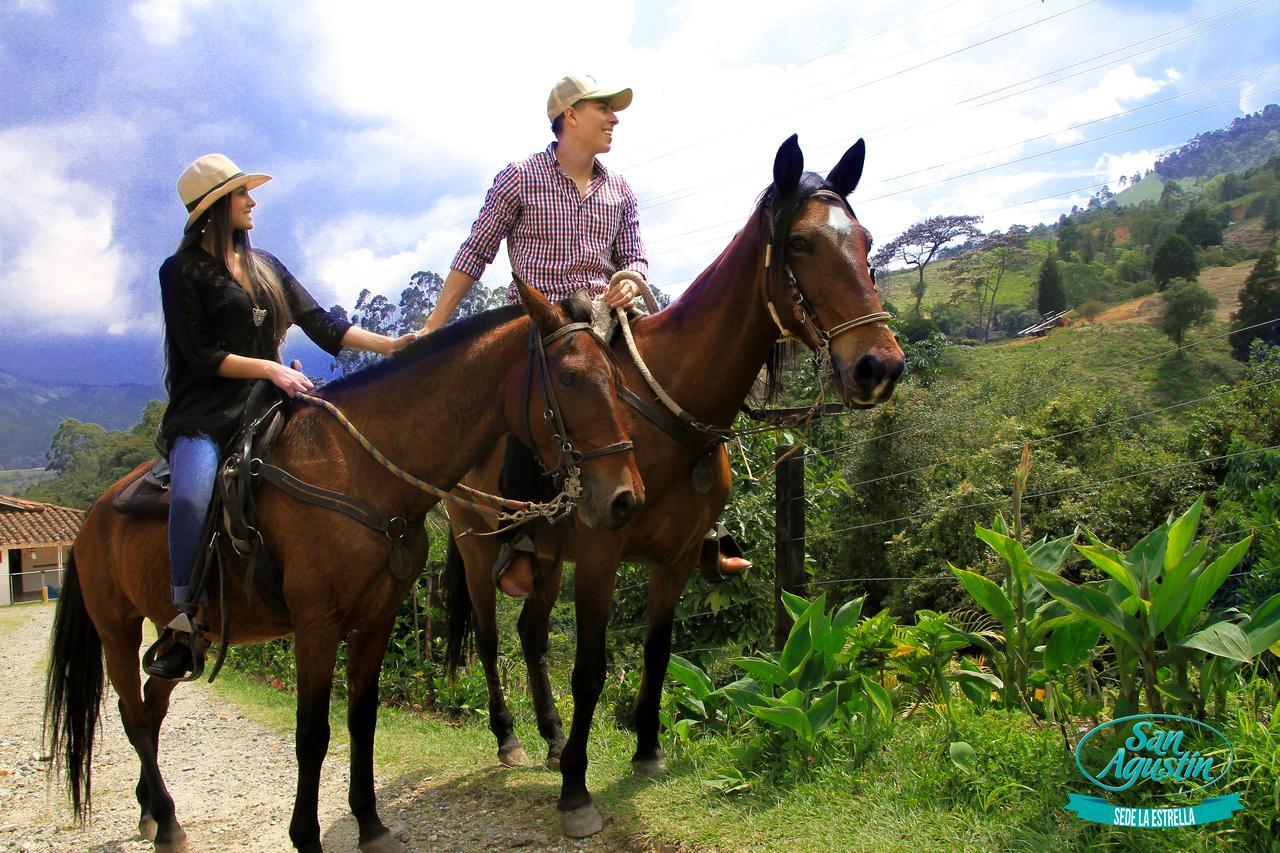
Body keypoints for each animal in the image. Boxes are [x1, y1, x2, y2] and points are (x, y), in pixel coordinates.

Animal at [45, 280, 645, 850]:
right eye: (570, 377)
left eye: (617, 377)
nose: (625, 499)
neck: (357, 468)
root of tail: (90, 519)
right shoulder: (316, 625)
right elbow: (312, 733)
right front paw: (306, 835)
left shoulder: (375, 620)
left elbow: (362, 719)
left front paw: (370, 823)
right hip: (116, 629)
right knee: (132, 715)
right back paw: (167, 822)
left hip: (180, 638)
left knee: (152, 704)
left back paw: (150, 810)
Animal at [445, 136, 906, 835]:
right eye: (801, 243)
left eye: (866, 239)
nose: (880, 366)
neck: (666, 412)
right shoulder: (601, 555)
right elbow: (591, 668)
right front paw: (576, 790)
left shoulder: (679, 557)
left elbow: (659, 651)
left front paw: (646, 751)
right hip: (477, 546)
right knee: (494, 637)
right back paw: (511, 738)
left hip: (547, 558)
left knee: (530, 634)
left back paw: (550, 737)